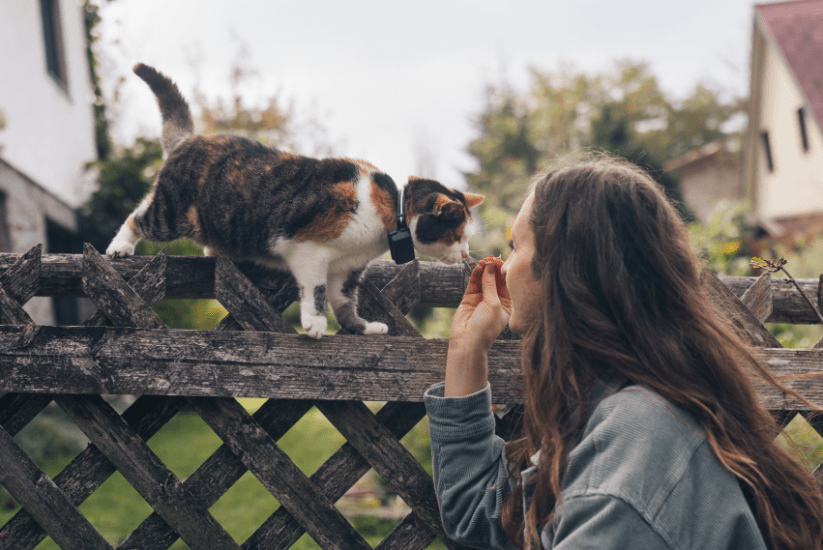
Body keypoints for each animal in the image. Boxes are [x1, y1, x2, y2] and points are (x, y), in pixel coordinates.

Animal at [107, 64, 486, 340]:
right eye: (457, 235)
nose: (466, 254)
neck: (390, 212)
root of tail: (190, 138)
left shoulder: (346, 269)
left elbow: (343, 301)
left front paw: (361, 328)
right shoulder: (309, 249)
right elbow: (315, 289)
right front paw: (314, 323)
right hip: (171, 212)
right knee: (138, 217)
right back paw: (119, 247)